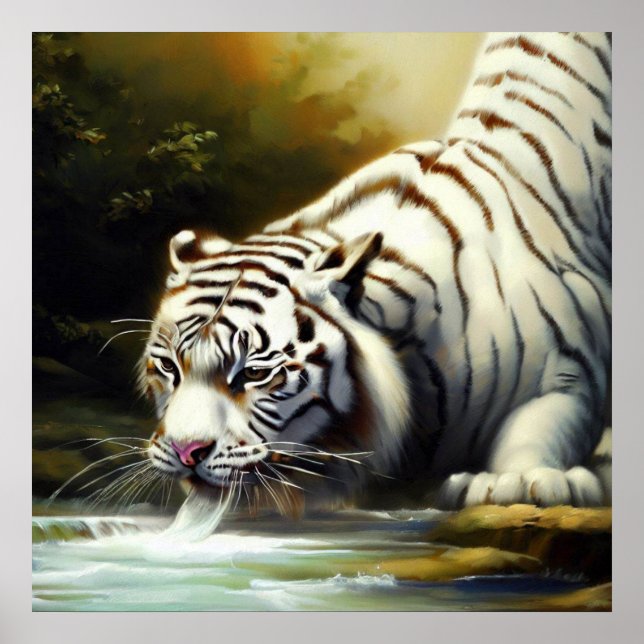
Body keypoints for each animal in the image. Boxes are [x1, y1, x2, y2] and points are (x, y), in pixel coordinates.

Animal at [141, 32, 611, 512]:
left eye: (254, 374)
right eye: (168, 367)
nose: (186, 450)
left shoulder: (569, 366)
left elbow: (541, 422)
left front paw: (519, 481)